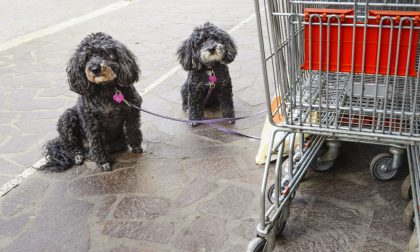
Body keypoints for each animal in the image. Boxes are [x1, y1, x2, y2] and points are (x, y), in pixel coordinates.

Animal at [41, 32, 143, 171]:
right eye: (87, 57)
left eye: (105, 53)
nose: (95, 68)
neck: (106, 90)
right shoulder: (91, 122)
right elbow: (96, 142)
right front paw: (103, 162)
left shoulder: (132, 111)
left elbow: (133, 129)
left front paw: (136, 146)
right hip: (67, 118)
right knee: (73, 146)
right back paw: (79, 156)